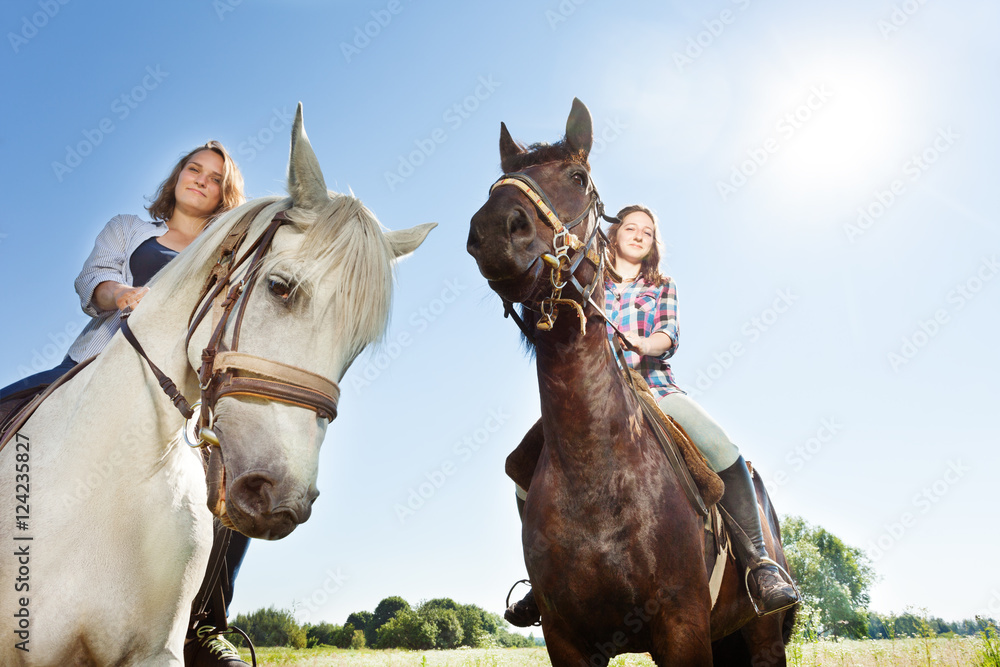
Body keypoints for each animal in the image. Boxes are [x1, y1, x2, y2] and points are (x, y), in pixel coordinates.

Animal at [464, 100, 792, 667]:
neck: (598, 474)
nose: (493, 229)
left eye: (578, 177)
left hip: (764, 636)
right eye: (494, 185)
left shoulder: (682, 629)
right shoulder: (566, 640)